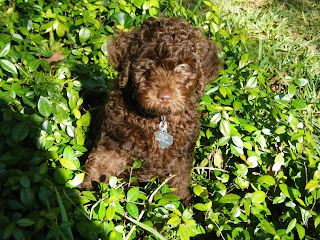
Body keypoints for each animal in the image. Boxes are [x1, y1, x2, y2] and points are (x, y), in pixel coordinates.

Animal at [81, 16, 221, 204]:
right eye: (149, 64)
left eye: (183, 67)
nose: (165, 96)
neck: (158, 118)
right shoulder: (112, 145)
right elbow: (99, 170)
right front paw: (87, 200)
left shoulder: (180, 161)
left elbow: (177, 187)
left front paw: (181, 207)